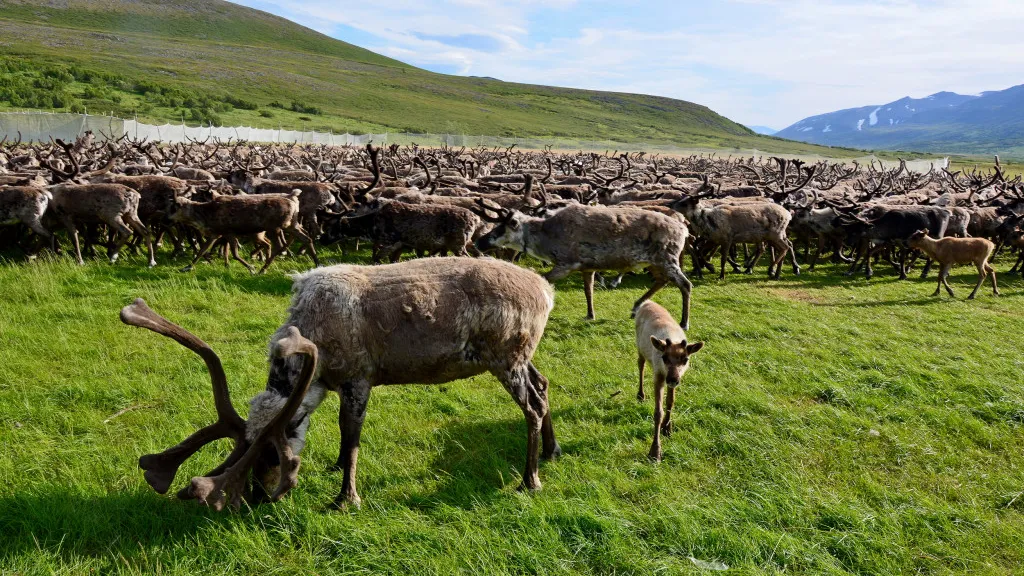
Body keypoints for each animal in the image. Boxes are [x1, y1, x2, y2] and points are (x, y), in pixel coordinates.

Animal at [630, 297, 704, 459]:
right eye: (664, 357)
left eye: (685, 359)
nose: (672, 379)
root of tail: (647, 302)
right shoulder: (658, 376)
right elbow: (658, 412)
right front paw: (655, 451)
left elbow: (671, 402)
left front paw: (667, 427)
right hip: (639, 347)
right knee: (640, 365)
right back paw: (640, 394)